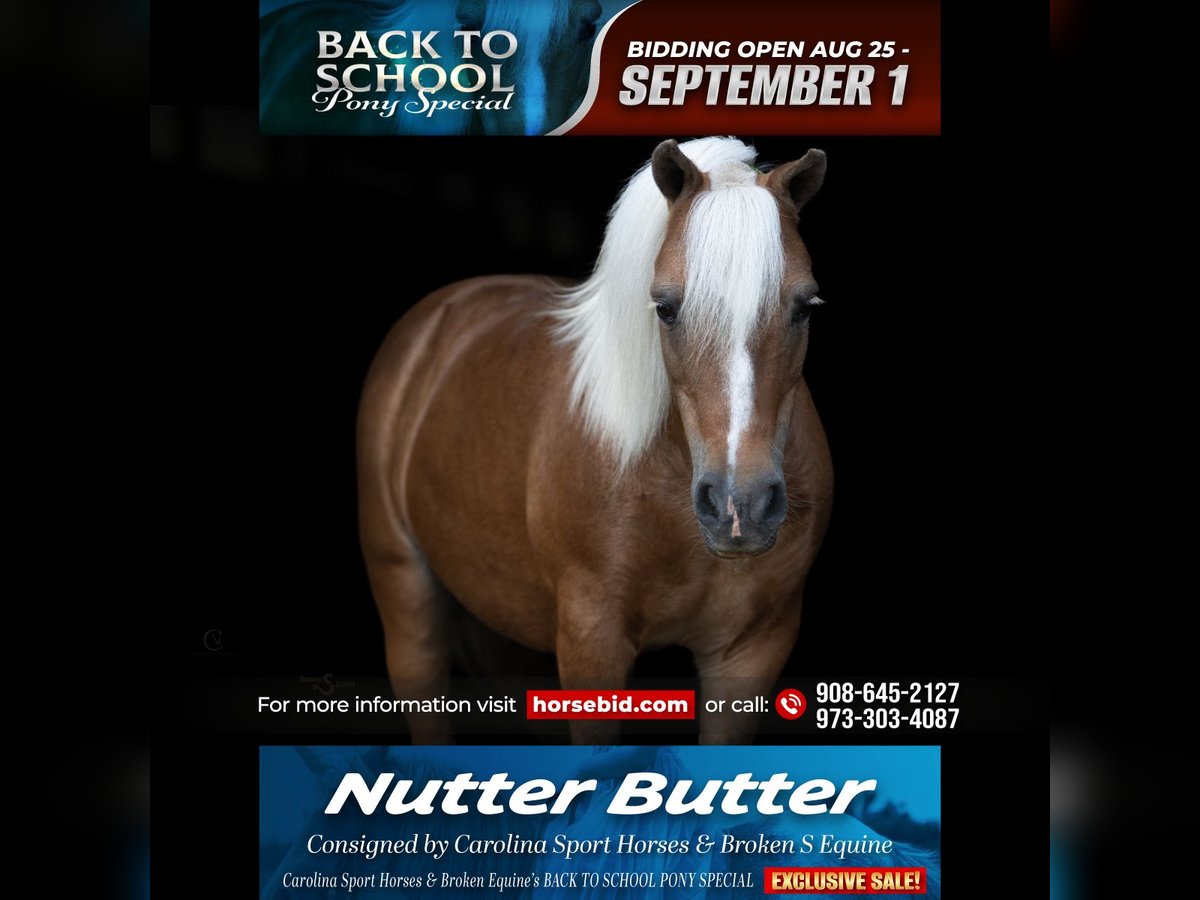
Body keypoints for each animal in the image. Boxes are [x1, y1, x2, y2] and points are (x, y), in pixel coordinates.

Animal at [358, 136, 834, 744]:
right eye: (665, 307)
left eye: (805, 306)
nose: (740, 506)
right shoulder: (592, 644)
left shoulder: (750, 653)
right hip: (407, 600)